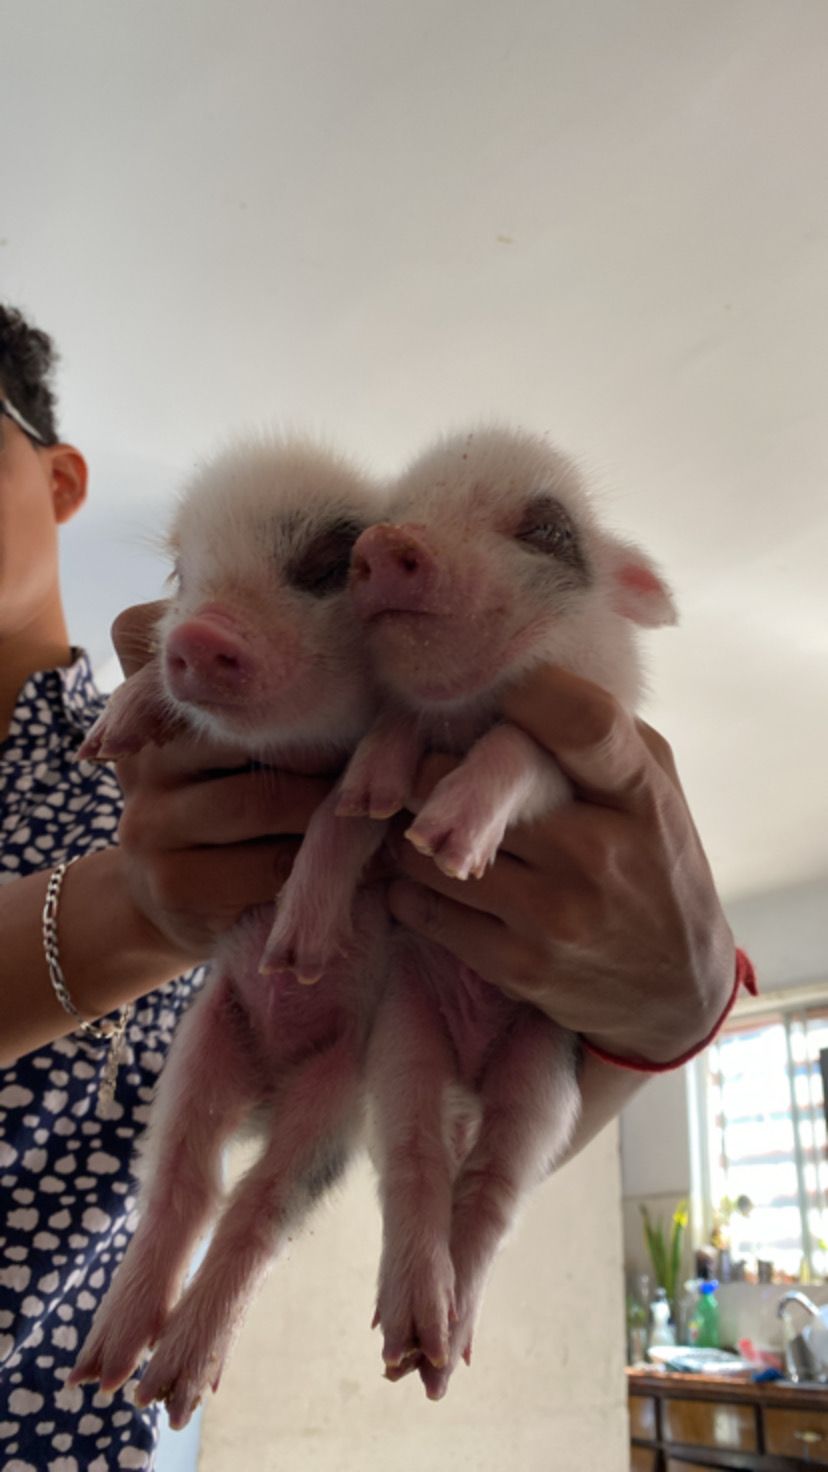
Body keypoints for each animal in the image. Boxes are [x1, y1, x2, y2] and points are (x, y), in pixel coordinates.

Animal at [70, 437, 391, 1428]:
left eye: (330, 563)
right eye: (182, 574)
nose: (195, 632)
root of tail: (271, 1082)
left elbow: (353, 810)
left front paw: (300, 948)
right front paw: (108, 733)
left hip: (343, 1093)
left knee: (263, 1202)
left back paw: (170, 1388)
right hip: (206, 1040)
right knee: (185, 1179)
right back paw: (104, 1367)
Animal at [273, 426, 677, 1398]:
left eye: (546, 529)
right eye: (386, 516)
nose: (391, 542)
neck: (460, 711)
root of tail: (471, 1065)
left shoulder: (571, 764)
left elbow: (517, 749)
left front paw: (445, 843)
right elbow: (354, 795)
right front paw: (367, 814)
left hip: (545, 1076)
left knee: (495, 1186)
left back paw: (445, 1350)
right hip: (403, 1030)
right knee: (416, 1159)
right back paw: (410, 1346)